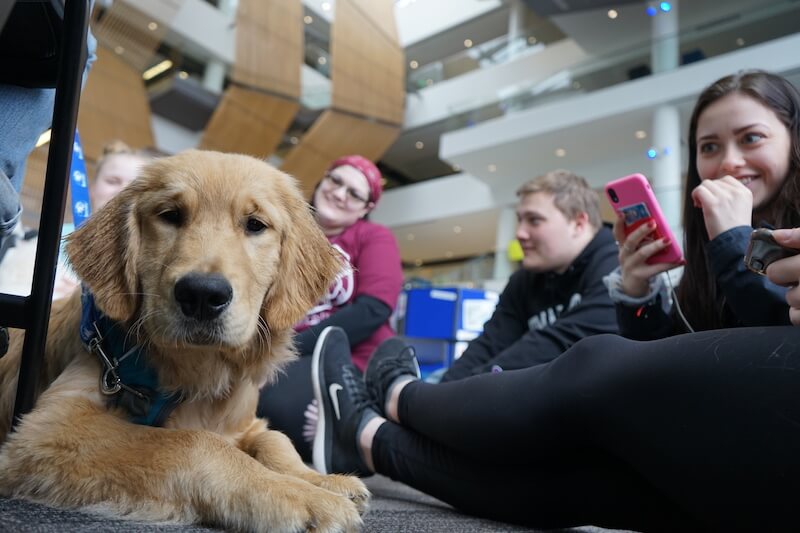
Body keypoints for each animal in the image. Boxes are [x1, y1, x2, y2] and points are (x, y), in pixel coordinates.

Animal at [0, 151, 370, 532]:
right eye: (171, 215)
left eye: (255, 224)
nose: (202, 295)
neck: (199, 370)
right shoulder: (50, 427)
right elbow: (193, 442)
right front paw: (300, 495)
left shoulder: (246, 421)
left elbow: (276, 438)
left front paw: (320, 479)